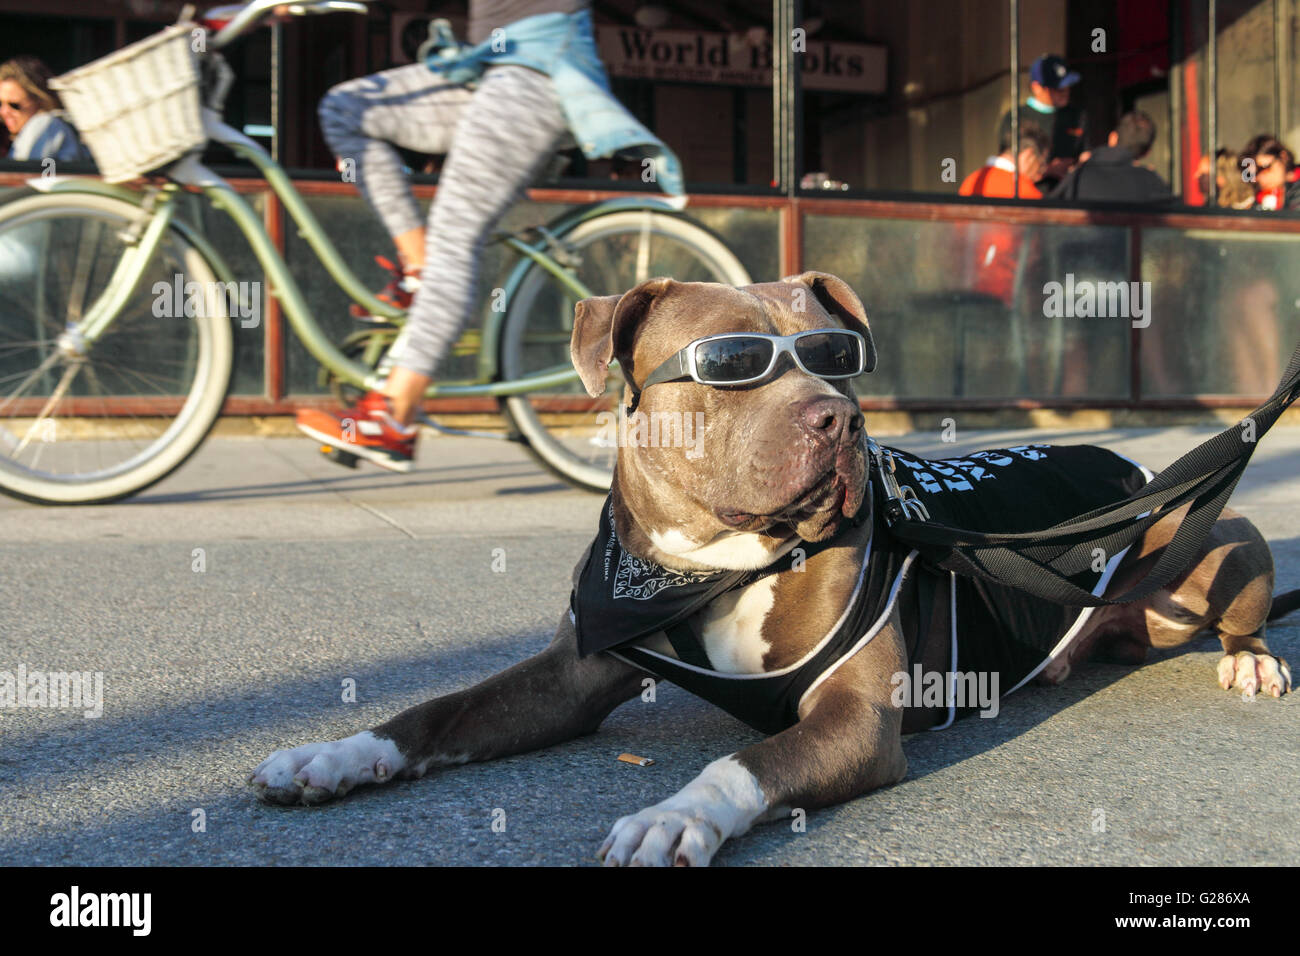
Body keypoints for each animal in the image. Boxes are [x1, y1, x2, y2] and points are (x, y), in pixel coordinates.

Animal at [248, 270, 1294, 868]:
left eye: (838, 357)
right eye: (732, 365)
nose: (842, 417)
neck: (710, 563)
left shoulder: (857, 719)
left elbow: (745, 761)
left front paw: (676, 816)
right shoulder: (571, 673)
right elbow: (436, 713)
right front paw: (333, 754)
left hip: (1218, 535)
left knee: (1243, 610)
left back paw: (1250, 661)